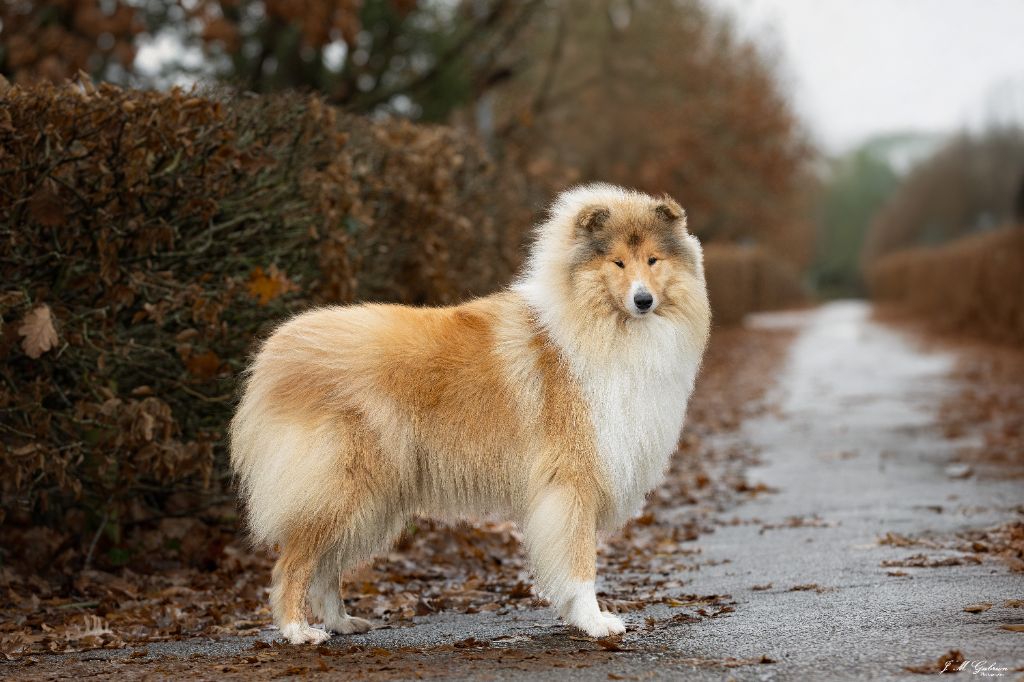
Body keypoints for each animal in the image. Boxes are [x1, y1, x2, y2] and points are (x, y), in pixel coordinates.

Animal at [230, 183, 712, 638]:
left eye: (653, 260)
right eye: (617, 263)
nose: (643, 300)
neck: (596, 323)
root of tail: (275, 352)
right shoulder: (572, 480)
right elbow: (579, 564)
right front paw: (594, 623)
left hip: (369, 497)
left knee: (326, 568)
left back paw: (342, 623)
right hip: (342, 486)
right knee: (293, 563)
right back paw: (297, 631)